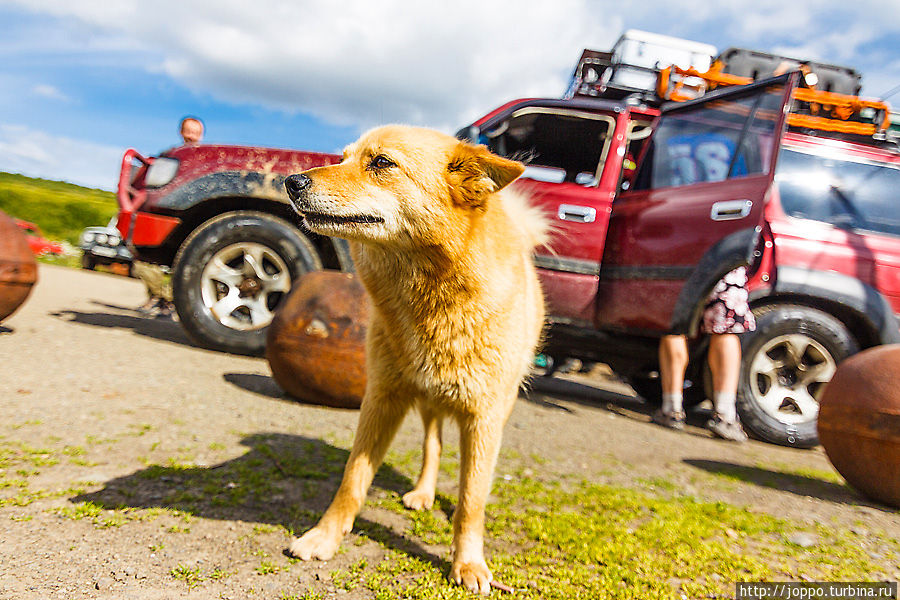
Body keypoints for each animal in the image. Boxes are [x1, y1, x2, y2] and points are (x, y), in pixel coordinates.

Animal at [284, 124, 544, 592]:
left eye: (382, 162)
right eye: (342, 157)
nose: (291, 182)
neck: (431, 297)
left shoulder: (483, 418)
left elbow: (472, 500)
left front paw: (468, 563)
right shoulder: (382, 399)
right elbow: (353, 479)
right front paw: (324, 537)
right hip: (427, 403)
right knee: (433, 446)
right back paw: (423, 492)